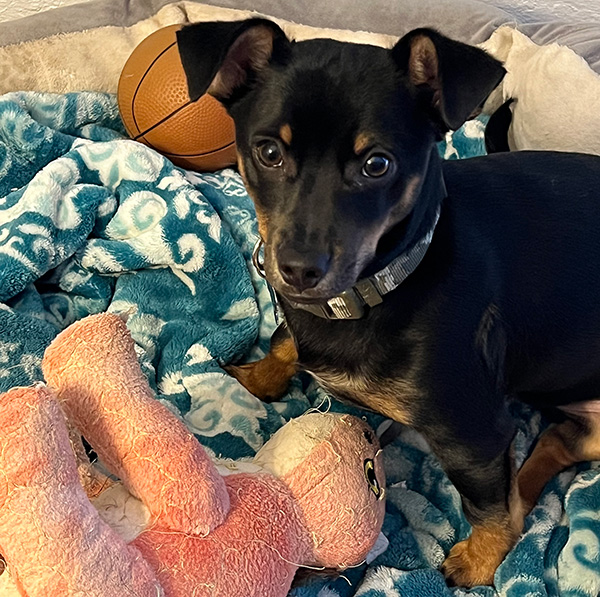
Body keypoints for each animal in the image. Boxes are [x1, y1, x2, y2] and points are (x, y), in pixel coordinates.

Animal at [177, 19, 600, 588]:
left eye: (377, 164)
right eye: (268, 152)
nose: (298, 270)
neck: (389, 280)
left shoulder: (474, 436)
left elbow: (486, 507)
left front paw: (480, 563)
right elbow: (285, 338)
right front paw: (258, 376)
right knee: (555, 442)